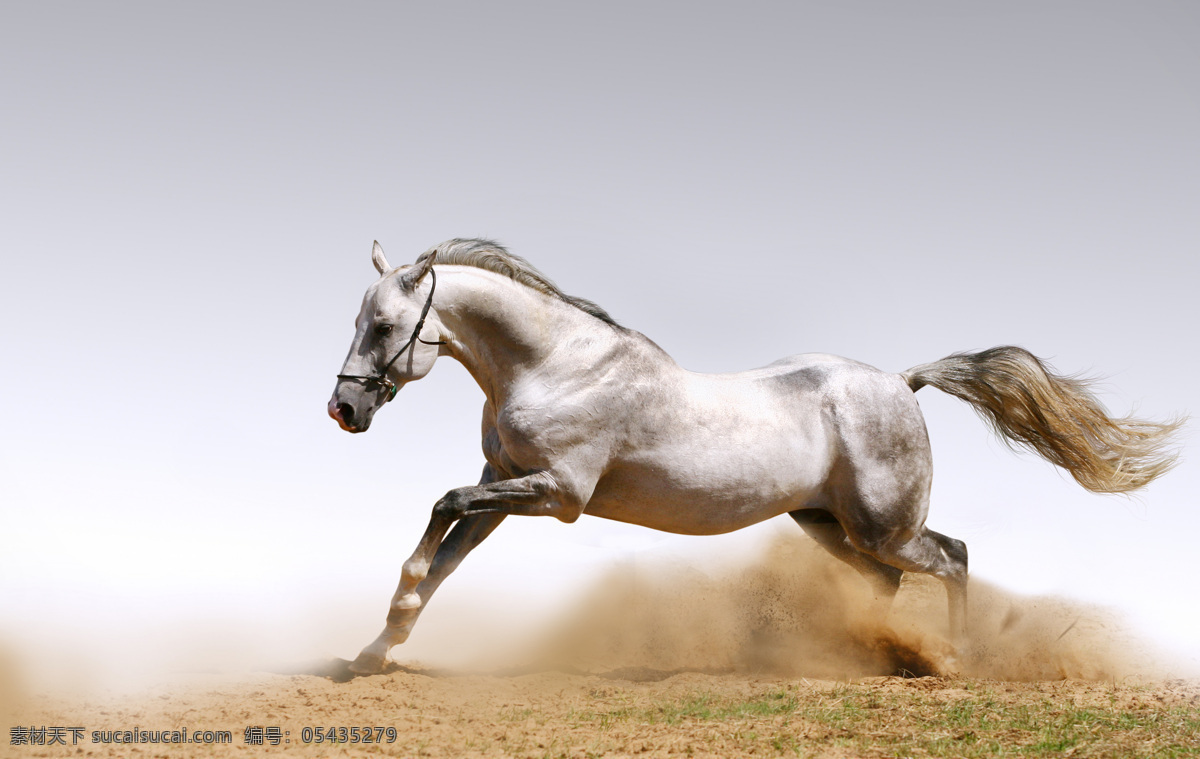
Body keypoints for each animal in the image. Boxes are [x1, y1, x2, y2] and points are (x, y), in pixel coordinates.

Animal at [328, 238, 1180, 677]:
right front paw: (375, 649)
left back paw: (954, 658)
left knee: (955, 556)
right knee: (892, 580)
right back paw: (872, 654)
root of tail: (902, 382)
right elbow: (445, 556)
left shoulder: (556, 492)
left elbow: (439, 511)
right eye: (362, 320)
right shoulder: (504, 482)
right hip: (827, 524)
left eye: (385, 325)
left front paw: (386, 626)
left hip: (883, 525)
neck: (556, 364)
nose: (343, 410)